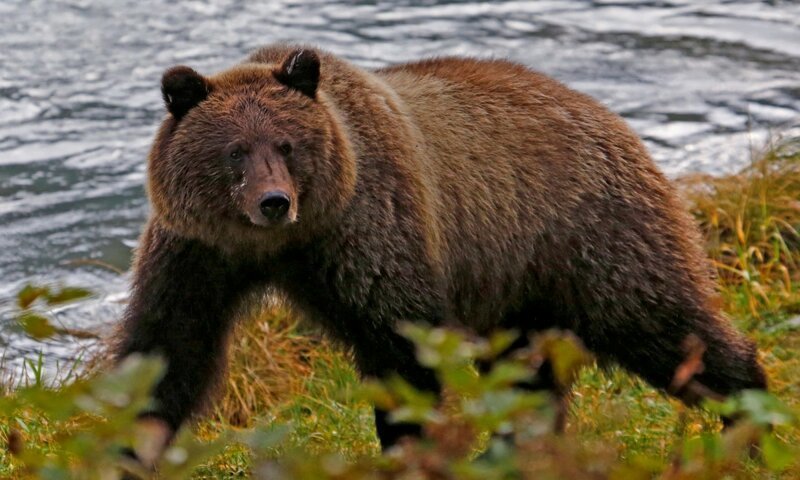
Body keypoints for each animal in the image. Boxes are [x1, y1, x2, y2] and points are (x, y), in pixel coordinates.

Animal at [114, 44, 768, 462]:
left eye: (287, 144)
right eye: (235, 151)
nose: (274, 201)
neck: (280, 245)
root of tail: (610, 117)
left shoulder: (372, 230)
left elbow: (402, 351)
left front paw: (407, 446)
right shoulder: (199, 251)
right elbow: (170, 349)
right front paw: (130, 447)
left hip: (591, 235)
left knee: (663, 326)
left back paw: (754, 424)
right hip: (521, 282)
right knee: (528, 376)